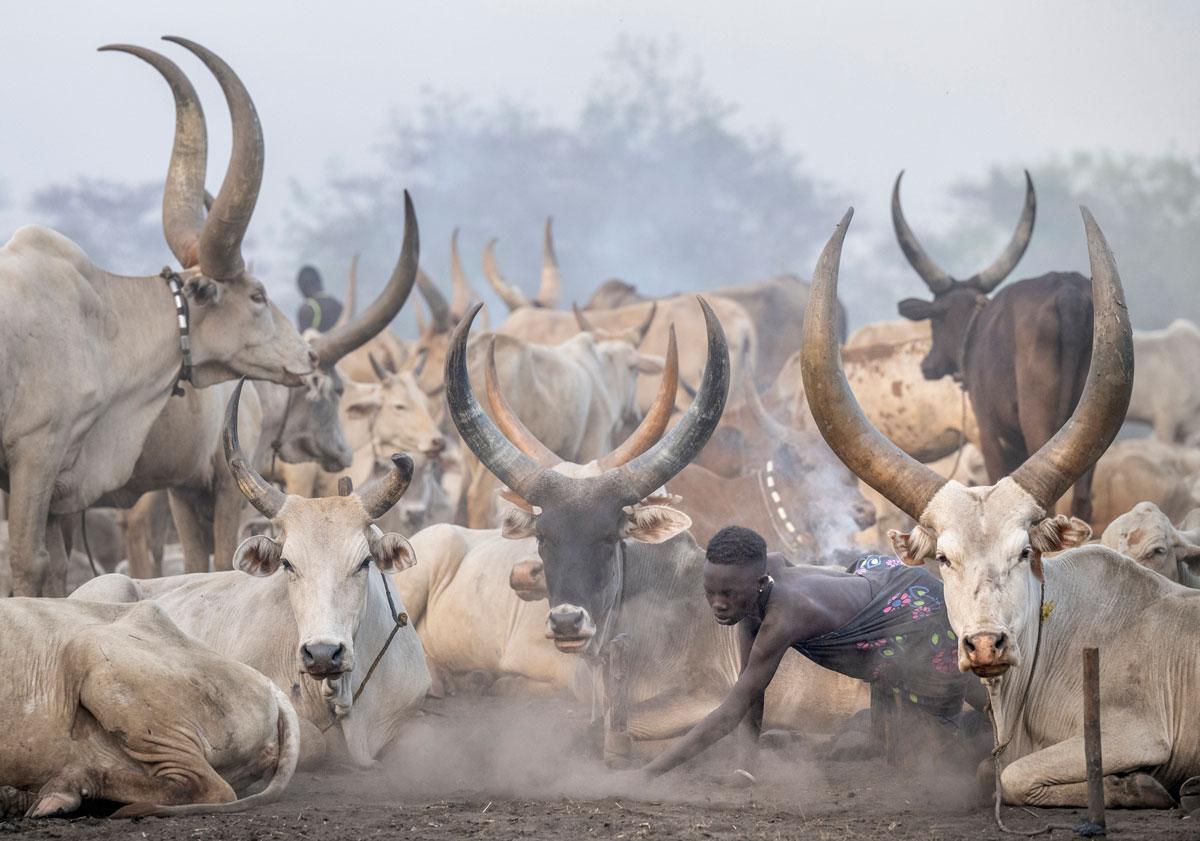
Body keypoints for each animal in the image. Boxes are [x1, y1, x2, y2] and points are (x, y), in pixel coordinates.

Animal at [0, 36, 319, 592]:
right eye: (257, 295)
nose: (308, 357)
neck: (100, 320)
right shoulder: (33, 453)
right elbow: (28, 560)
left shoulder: (57, 479)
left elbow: (55, 565)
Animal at [888, 172, 1099, 518]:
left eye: (933, 320)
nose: (927, 365)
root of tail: (1068, 292)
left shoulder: (989, 432)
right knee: (1083, 497)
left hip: (1037, 421)